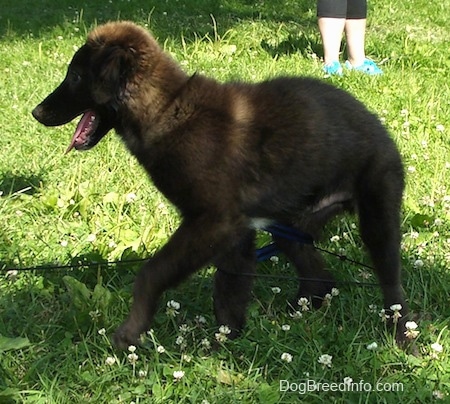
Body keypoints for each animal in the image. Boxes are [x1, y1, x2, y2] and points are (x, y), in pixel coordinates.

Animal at [32, 21, 408, 348]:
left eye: (75, 76)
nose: (36, 112)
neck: (167, 109)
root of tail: (380, 129)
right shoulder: (236, 231)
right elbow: (229, 292)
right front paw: (224, 345)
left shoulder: (215, 222)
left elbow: (152, 273)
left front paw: (131, 332)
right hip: (292, 224)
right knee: (319, 276)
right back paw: (298, 312)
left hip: (377, 218)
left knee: (394, 291)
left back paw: (404, 338)